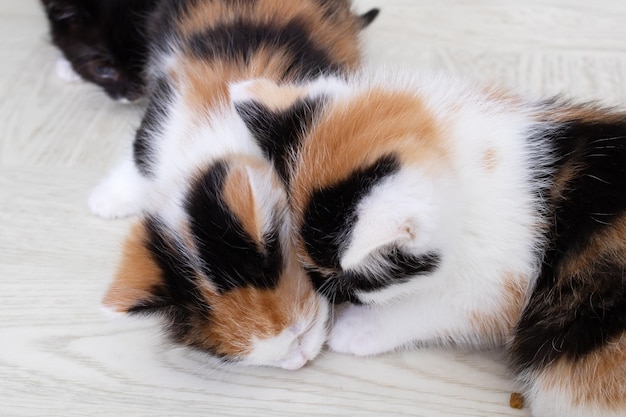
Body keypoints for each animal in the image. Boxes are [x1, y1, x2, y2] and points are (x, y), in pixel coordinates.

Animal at [90, 0, 378, 368]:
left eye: (301, 331)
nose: (298, 361)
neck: (218, 135)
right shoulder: (162, 113)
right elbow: (141, 152)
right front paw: (111, 197)